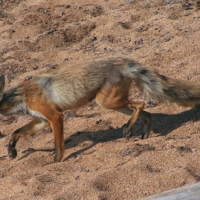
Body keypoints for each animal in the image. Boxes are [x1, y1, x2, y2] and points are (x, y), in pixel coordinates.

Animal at [0, 56, 200, 162]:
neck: (21, 96)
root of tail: (123, 62)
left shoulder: (56, 117)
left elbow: (58, 145)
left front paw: (56, 162)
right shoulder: (41, 120)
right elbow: (16, 132)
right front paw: (12, 151)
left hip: (108, 102)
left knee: (140, 105)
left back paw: (129, 129)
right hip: (114, 103)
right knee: (147, 113)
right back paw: (144, 134)